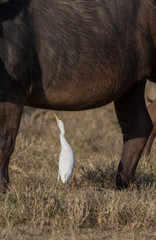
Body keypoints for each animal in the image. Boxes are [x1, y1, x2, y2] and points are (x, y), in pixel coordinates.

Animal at [0, 0, 156, 191]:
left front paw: (3, 187)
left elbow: (5, 142)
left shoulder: (13, 94)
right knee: (137, 125)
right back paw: (118, 184)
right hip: (132, 84)